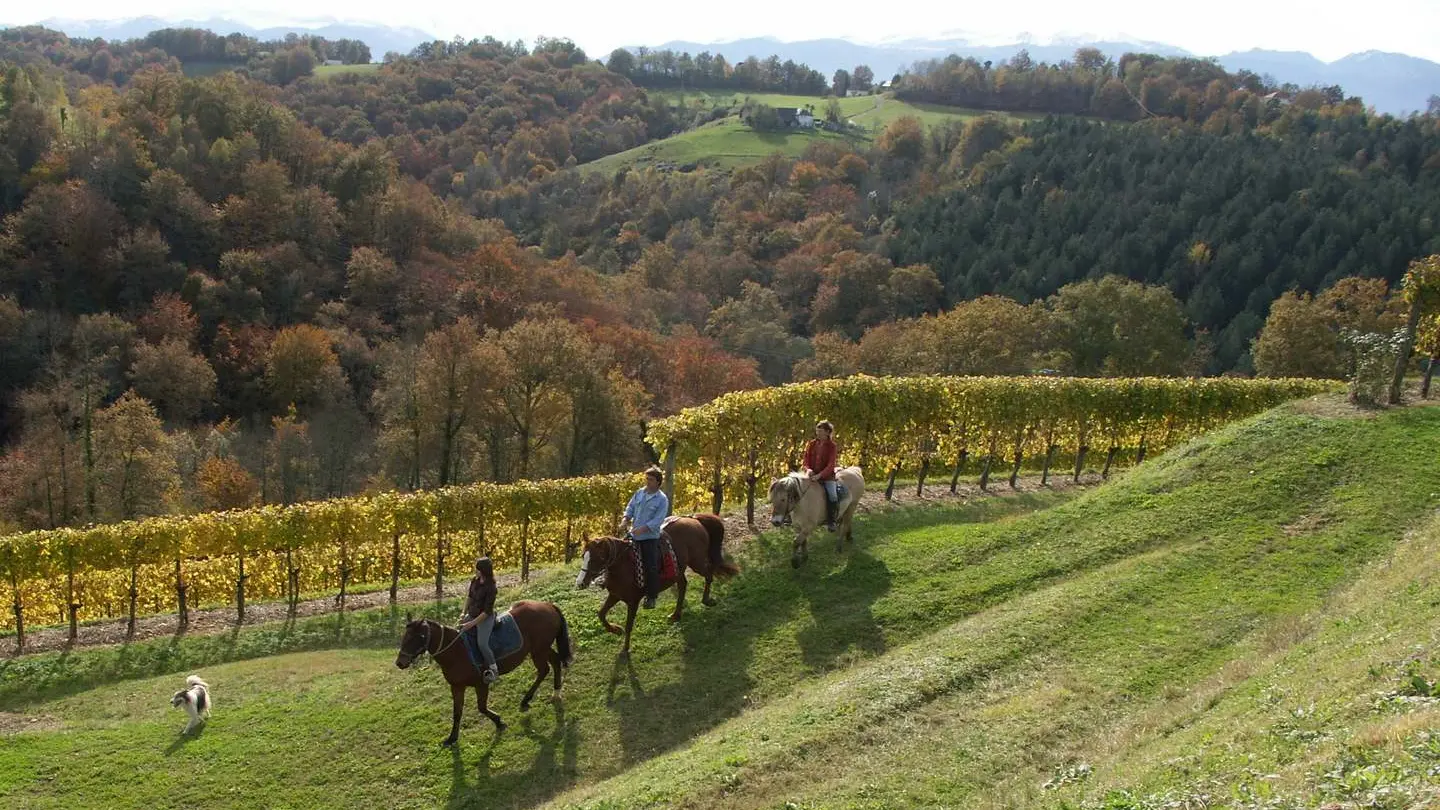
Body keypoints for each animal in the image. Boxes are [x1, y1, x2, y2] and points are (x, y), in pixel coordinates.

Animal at [397, 596, 576, 743]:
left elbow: (482, 708)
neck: (457, 651)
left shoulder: (481, 684)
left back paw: (528, 699)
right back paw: (554, 693)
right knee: (555, 662)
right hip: (541, 649)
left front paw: (499, 722)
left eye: (419, 637)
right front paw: (452, 738)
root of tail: (547, 605)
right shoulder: (457, 687)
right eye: (404, 637)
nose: (400, 662)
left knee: (544, 670)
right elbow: (457, 712)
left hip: (539, 650)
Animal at [570, 513, 737, 651]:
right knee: (683, 585)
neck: (623, 565)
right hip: (679, 570)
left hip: (697, 562)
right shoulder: (615, 595)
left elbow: (629, 625)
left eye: (596, 558)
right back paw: (676, 615)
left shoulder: (633, 601)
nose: (580, 583)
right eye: (583, 556)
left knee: (709, 574)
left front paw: (625, 649)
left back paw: (706, 600)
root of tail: (693, 519)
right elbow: (601, 614)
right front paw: (615, 630)